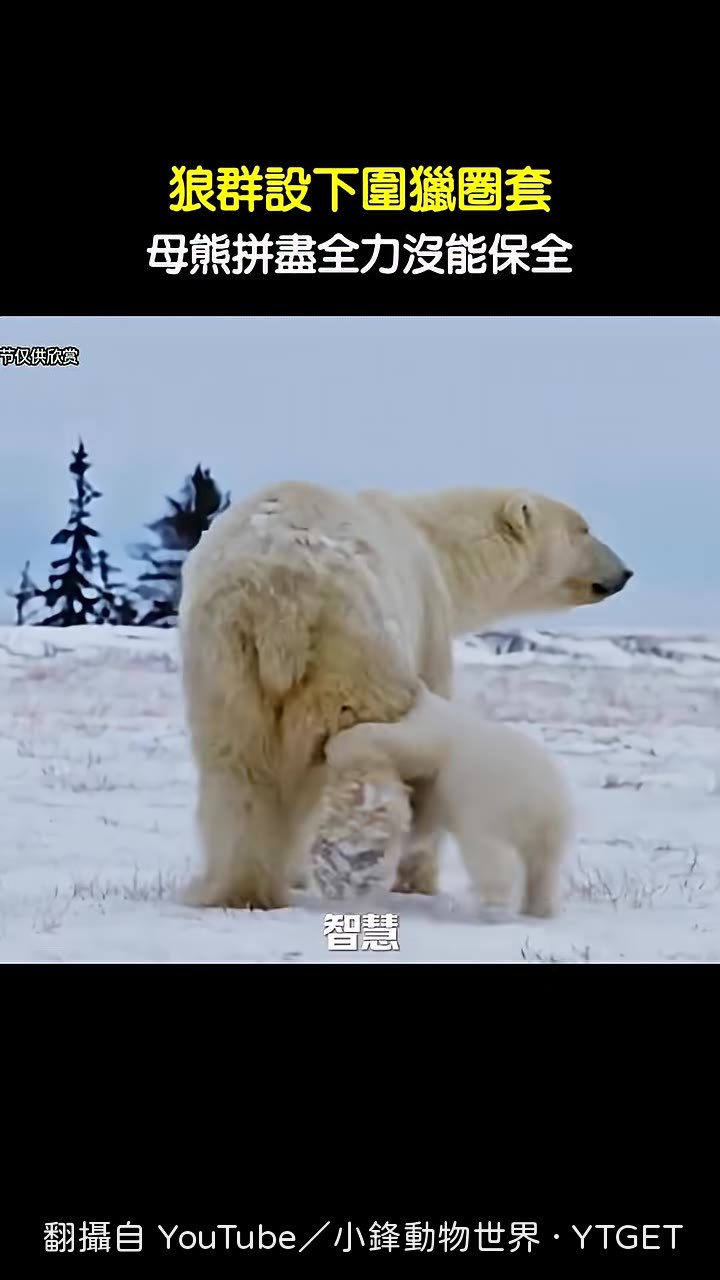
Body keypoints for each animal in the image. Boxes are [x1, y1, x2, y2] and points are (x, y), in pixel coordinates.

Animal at [324, 683, 574, 917]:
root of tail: (544, 801)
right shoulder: (434, 789)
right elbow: (425, 818)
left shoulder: (432, 735)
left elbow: (404, 741)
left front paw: (338, 743)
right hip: (551, 831)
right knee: (543, 869)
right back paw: (538, 909)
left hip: (490, 808)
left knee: (491, 856)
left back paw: (495, 906)